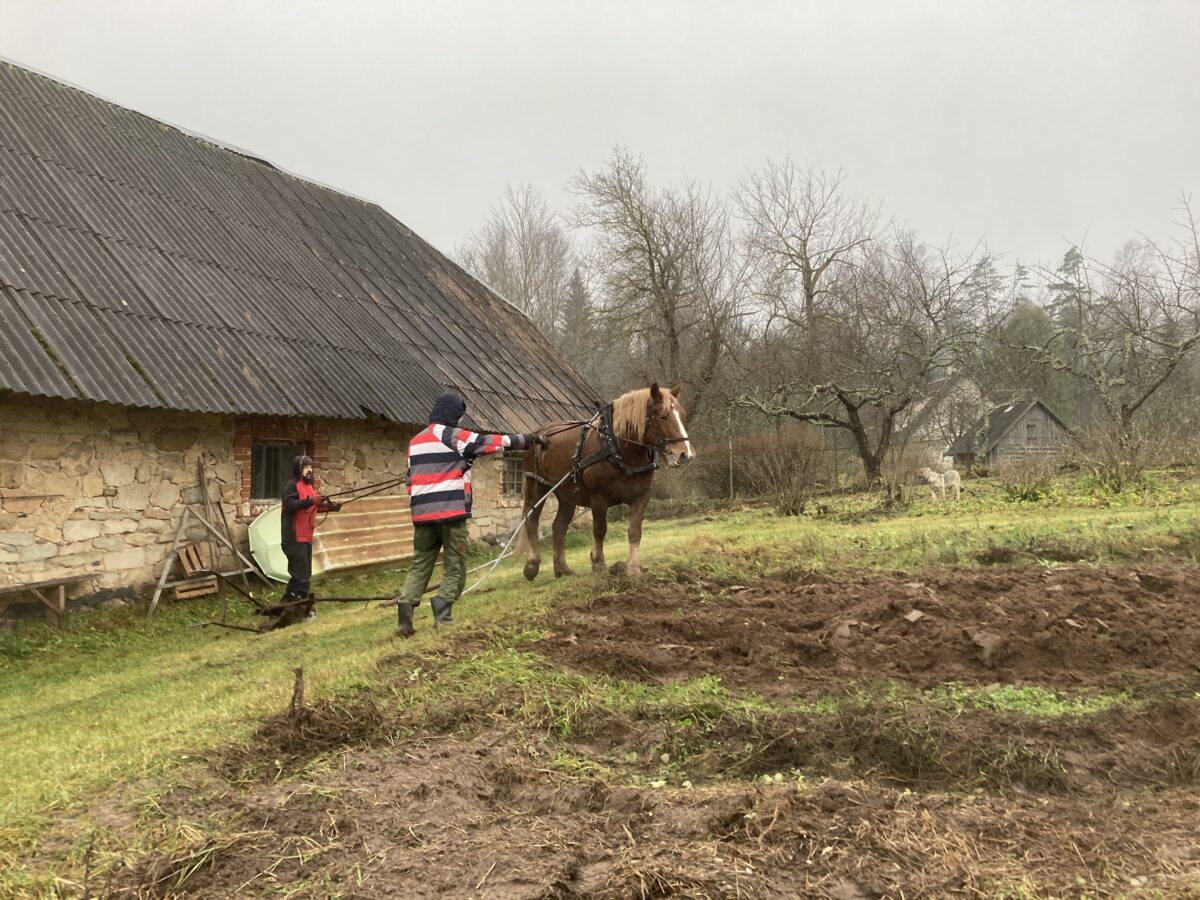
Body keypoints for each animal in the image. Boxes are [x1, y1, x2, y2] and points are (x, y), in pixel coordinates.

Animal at [523, 384, 696, 580]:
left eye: (682, 414)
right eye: (662, 416)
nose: (686, 454)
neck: (618, 449)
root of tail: (540, 434)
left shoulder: (641, 497)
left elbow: (634, 532)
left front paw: (634, 568)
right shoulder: (599, 498)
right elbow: (600, 530)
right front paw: (598, 564)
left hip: (567, 494)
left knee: (559, 526)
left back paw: (562, 568)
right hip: (537, 486)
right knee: (531, 520)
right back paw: (532, 565)